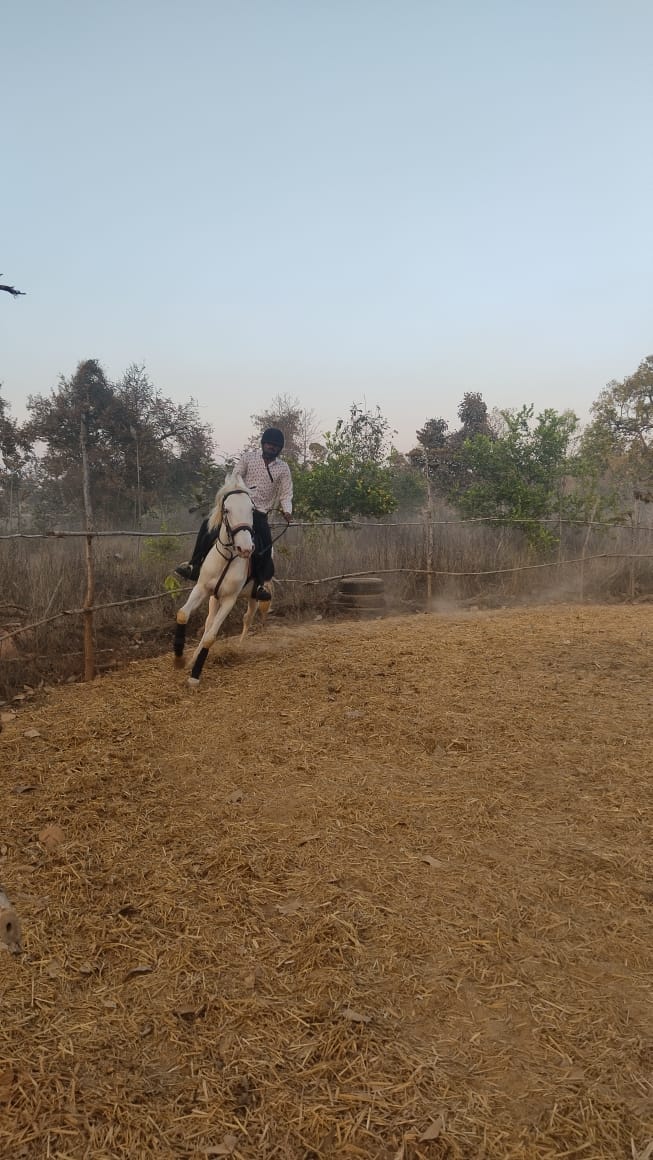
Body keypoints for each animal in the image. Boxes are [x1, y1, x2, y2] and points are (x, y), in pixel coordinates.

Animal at [172, 473, 272, 682]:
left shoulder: (229, 600)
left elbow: (211, 636)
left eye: (252, 509)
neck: (227, 556)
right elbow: (183, 614)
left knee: (247, 619)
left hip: (252, 598)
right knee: (209, 623)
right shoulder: (202, 588)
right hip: (213, 598)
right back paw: (192, 659)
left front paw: (195, 676)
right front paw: (180, 659)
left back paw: (239, 647)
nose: (246, 549)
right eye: (226, 509)